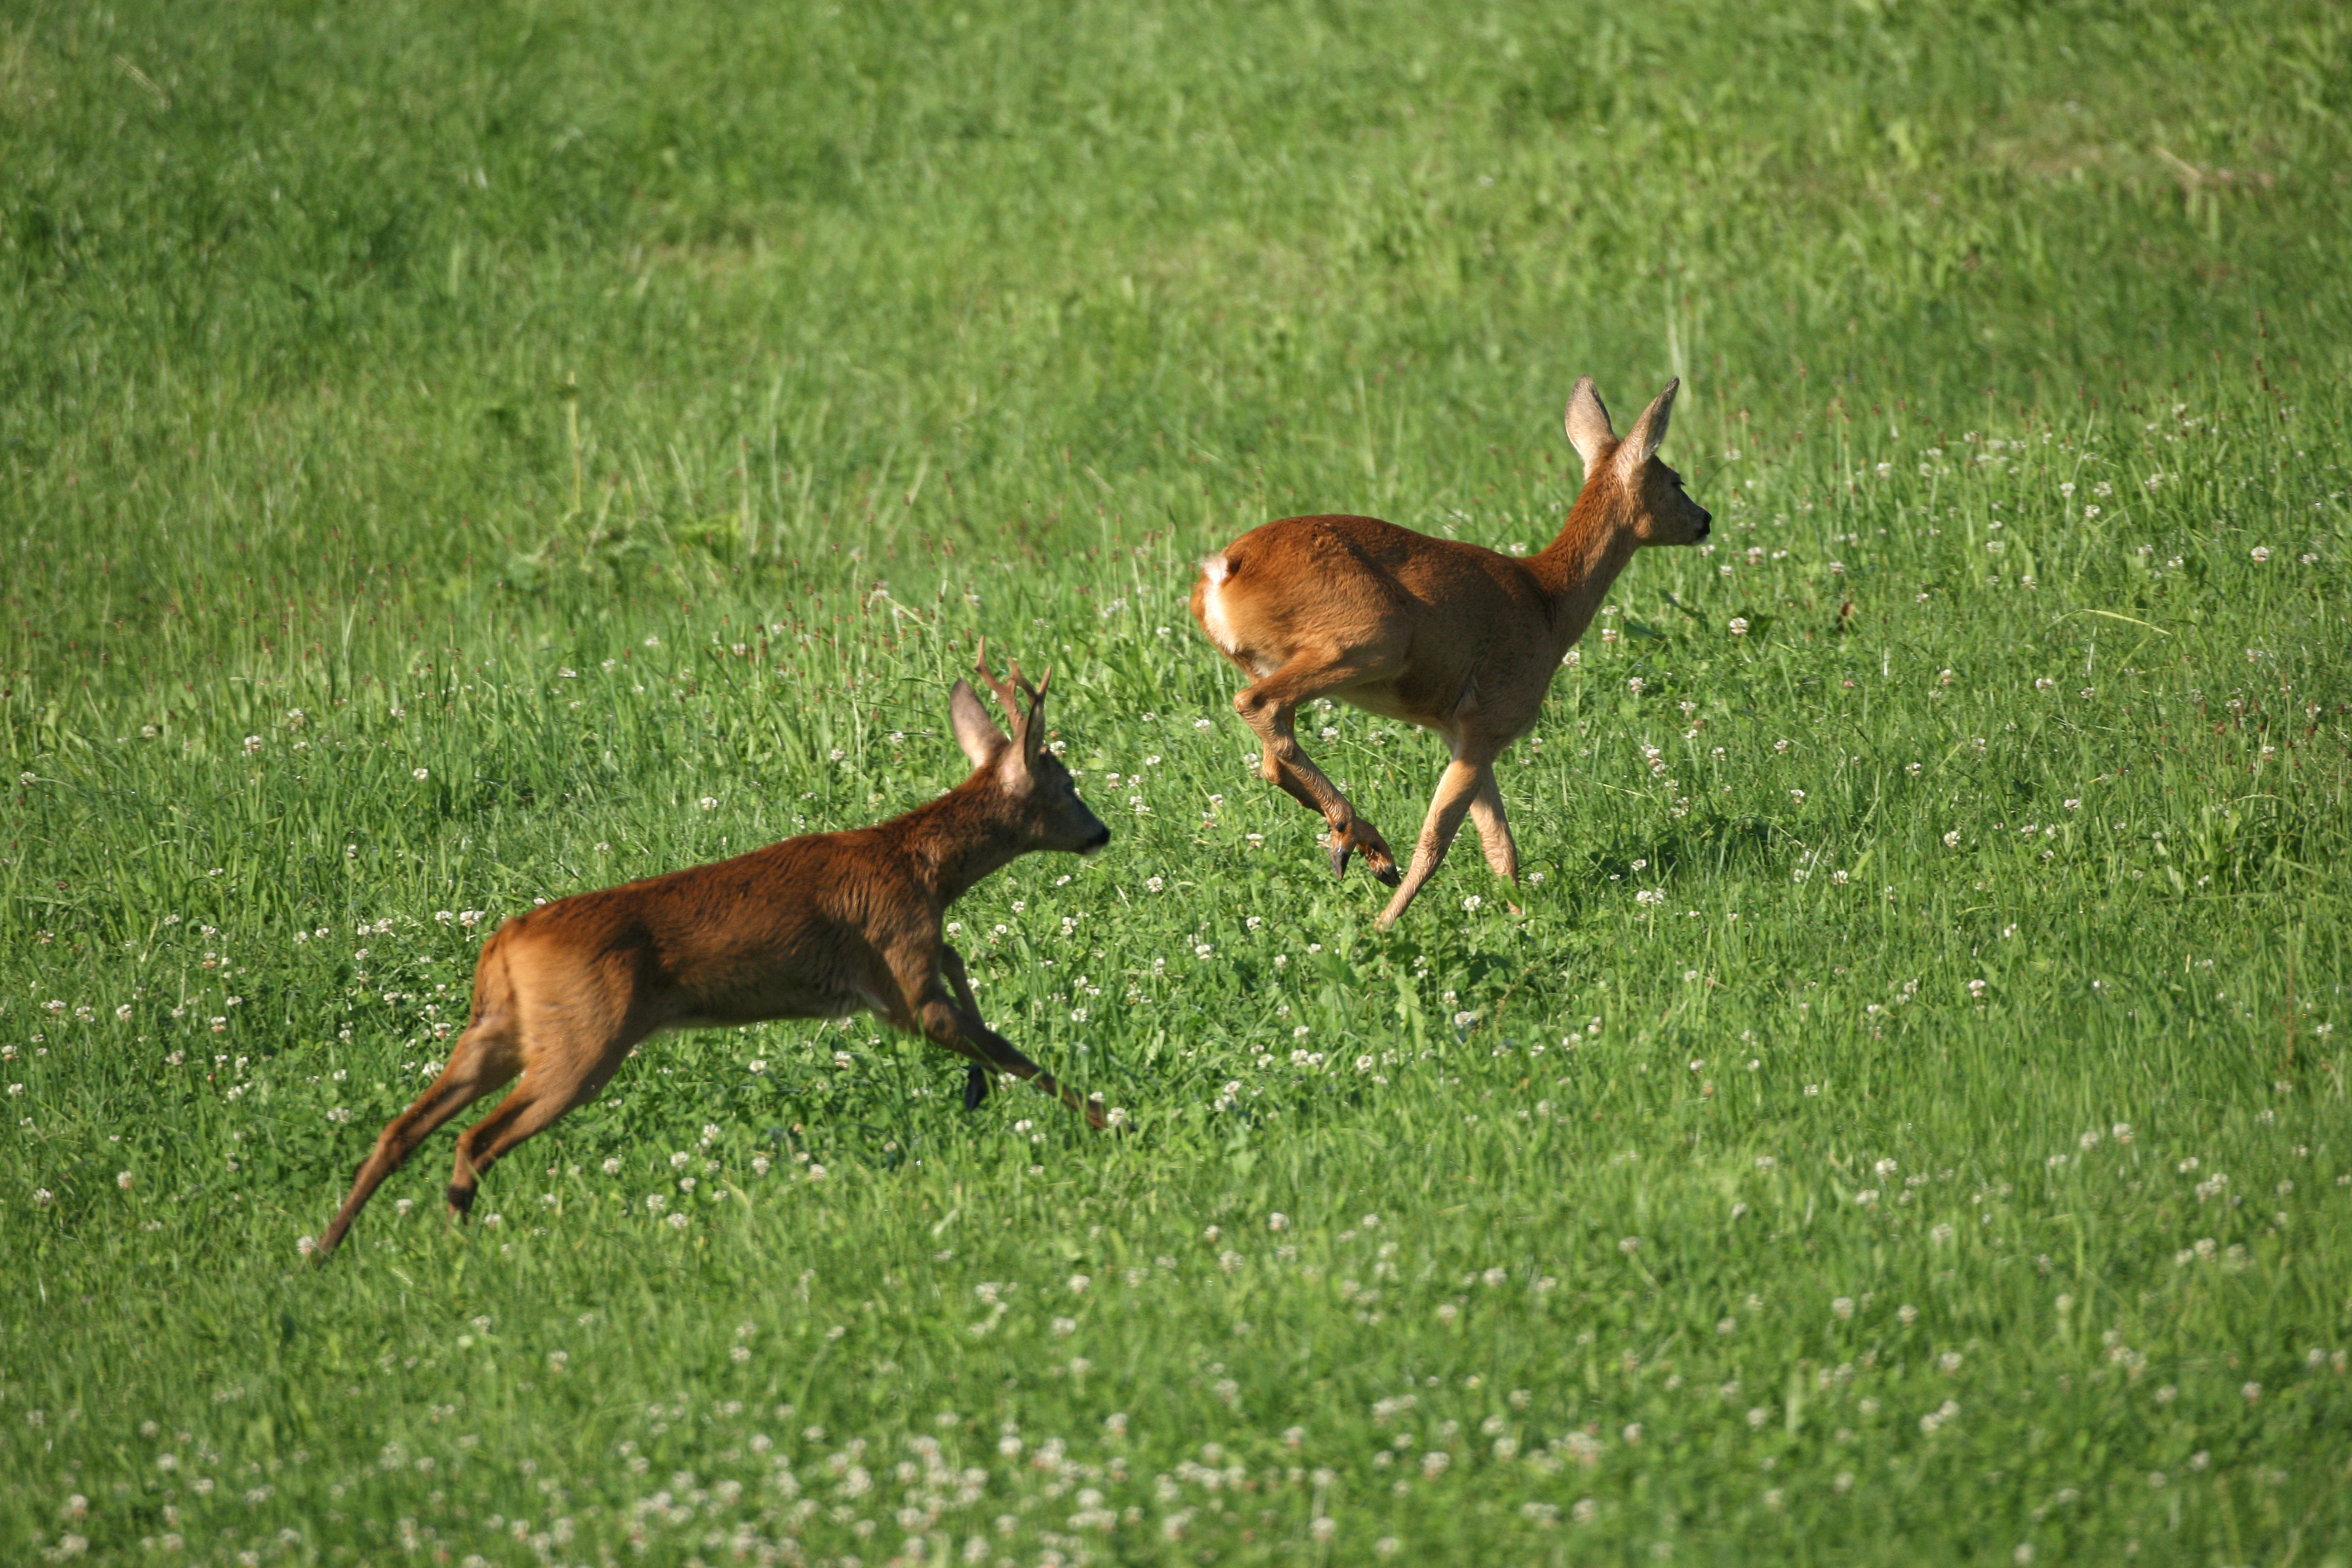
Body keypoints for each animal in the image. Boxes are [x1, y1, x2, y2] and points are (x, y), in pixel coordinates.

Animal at [315, 648, 1110, 1259]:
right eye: (1068, 783)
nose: (1101, 832)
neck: (922, 867)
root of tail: (501, 941)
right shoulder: (898, 974)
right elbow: (1003, 1043)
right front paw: (1109, 1119)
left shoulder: (915, 958)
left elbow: (965, 977)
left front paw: (988, 1093)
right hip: (583, 1037)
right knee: (475, 1140)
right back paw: (456, 1244)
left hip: (499, 1030)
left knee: (402, 1127)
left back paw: (325, 1251)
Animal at [1195, 373, 1712, 926]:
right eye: (1676, 480)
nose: (1706, 519)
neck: (1549, 603)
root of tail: (1223, 571)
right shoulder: (1489, 718)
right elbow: (1439, 839)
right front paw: (1384, 926)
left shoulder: (1460, 731)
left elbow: (1499, 844)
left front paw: (1518, 919)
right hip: (1373, 637)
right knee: (1259, 707)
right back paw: (1363, 843)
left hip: (1279, 660)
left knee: (1271, 759)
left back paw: (1360, 845)